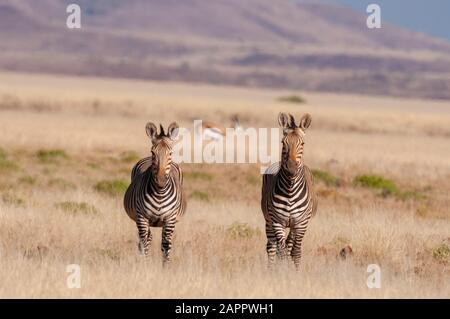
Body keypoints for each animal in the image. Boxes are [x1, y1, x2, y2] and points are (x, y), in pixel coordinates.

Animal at [123, 121, 186, 264]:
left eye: (170, 152)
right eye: (153, 152)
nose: (161, 180)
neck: (160, 193)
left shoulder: (170, 219)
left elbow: (166, 245)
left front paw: (166, 266)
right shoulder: (142, 217)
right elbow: (144, 242)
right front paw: (144, 264)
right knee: (146, 239)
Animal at [260, 112, 316, 270]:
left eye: (302, 144)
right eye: (283, 143)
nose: (291, 168)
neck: (290, 190)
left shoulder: (301, 223)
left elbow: (295, 252)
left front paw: (295, 272)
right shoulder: (277, 221)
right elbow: (282, 252)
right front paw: (282, 271)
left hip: (293, 225)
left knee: (289, 245)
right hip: (268, 220)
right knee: (272, 247)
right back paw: (271, 269)